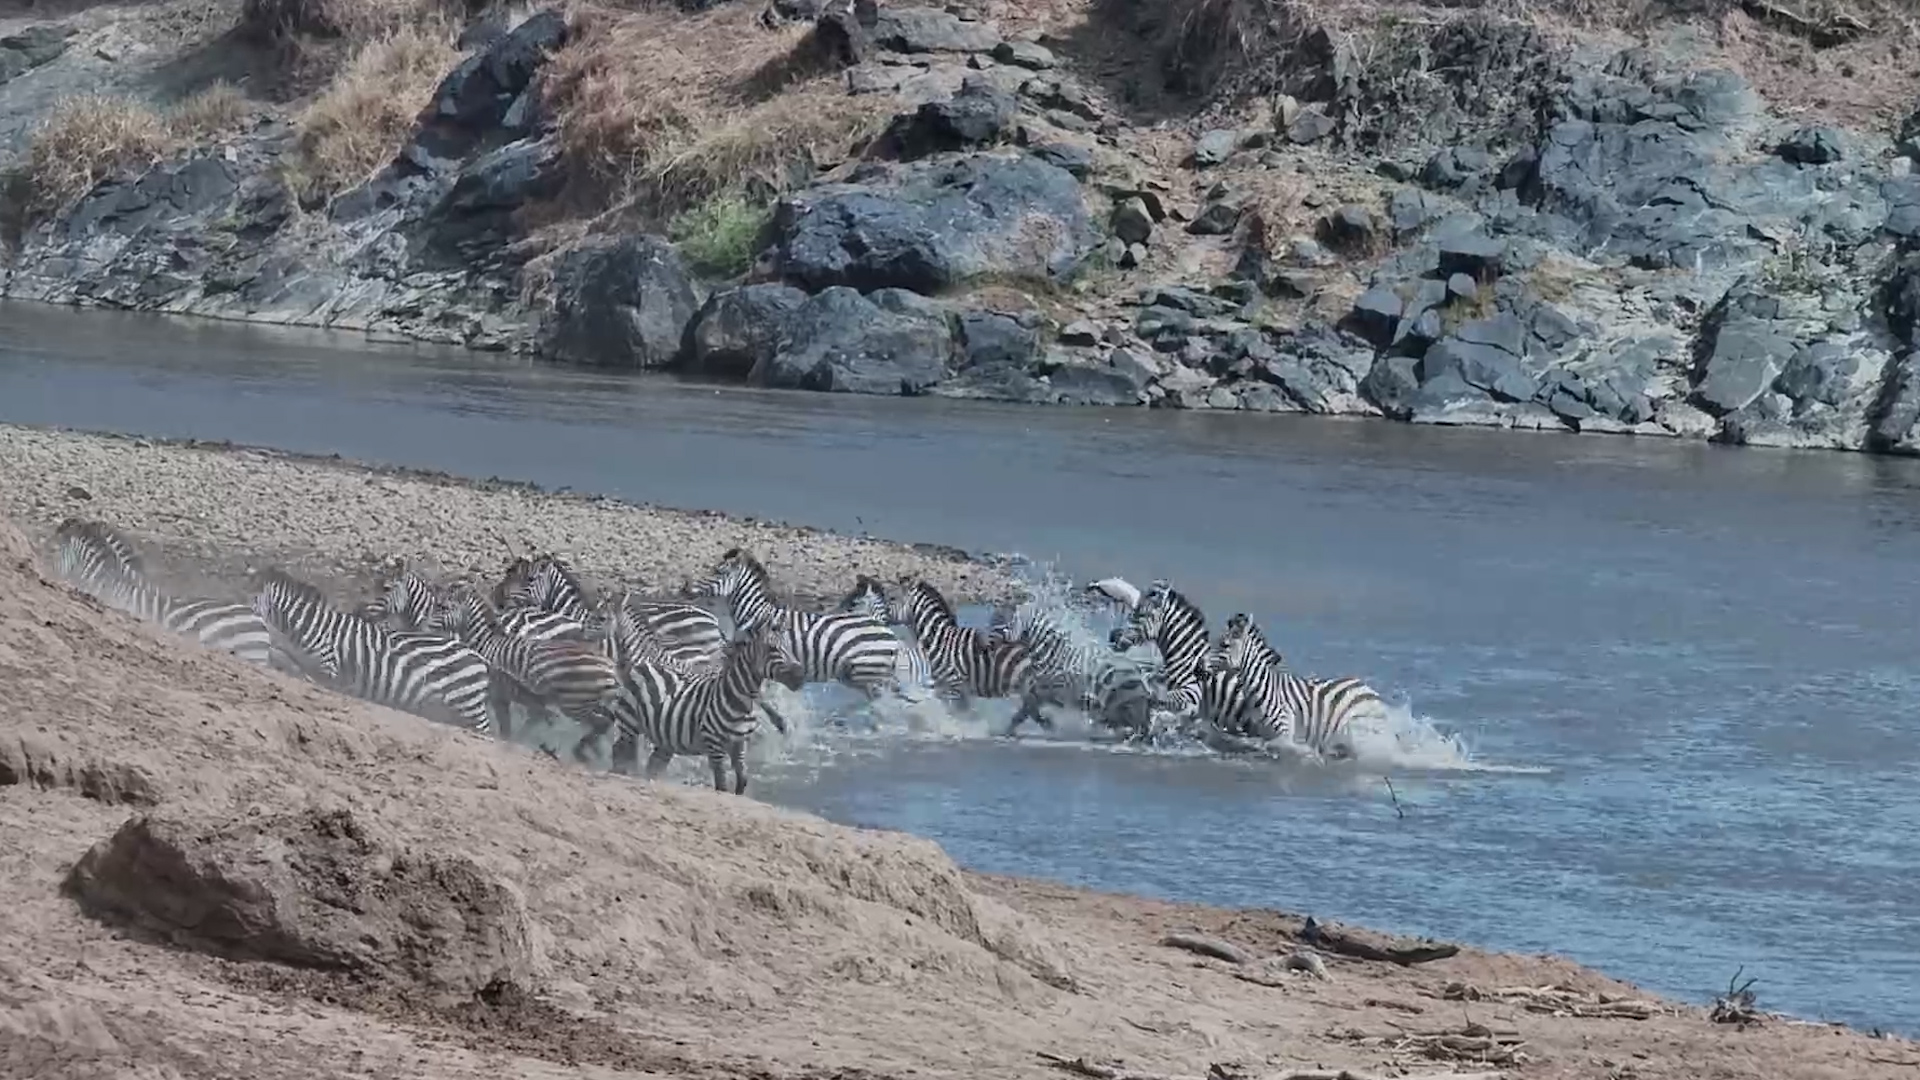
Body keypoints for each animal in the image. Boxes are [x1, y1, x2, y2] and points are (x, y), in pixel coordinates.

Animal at [250, 568, 496, 733]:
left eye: (253, 603)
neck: (311, 624)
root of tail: (478, 657)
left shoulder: (328, 668)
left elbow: (306, 674)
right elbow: (286, 658)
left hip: (468, 706)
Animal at [605, 624, 806, 794]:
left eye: (789, 647)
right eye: (772, 649)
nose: (800, 676)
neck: (739, 700)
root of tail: (643, 664)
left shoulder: (740, 743)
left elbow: (742, 780)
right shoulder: (714, 744)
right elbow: (721, 785)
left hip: (665, 739)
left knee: (652, 766)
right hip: (629, 721)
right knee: (619, 751)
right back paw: (617, 774)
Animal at [895, 579, 1049, 733]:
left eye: (893, 600)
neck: (939, 638)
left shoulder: (953, 686)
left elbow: (955, 714)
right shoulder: (947, 687)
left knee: (1031, 711)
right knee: (1029, 712)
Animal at [1213, 612, 1383, 761]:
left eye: (1225, 645)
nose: (1205, 665)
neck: (1261, 689)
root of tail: (1365, 687)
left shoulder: (1285, 733)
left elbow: (1281, 750)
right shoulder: (1261, 733)